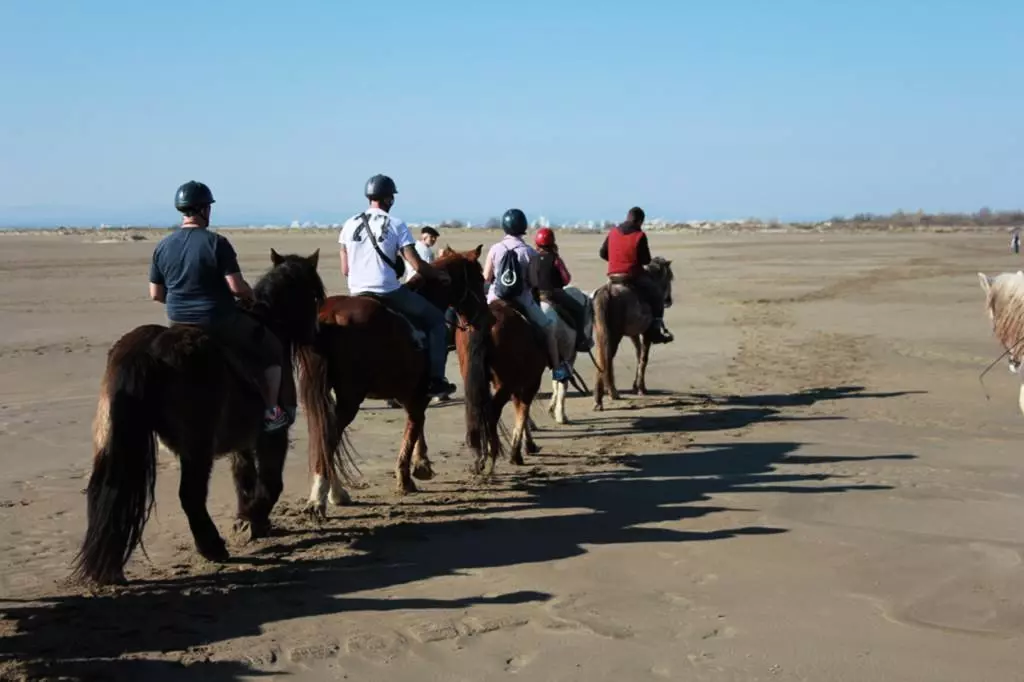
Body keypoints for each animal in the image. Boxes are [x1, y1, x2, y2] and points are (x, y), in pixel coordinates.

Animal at [73, 249, 326, 585]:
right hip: (197, 447)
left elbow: (244, 478)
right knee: (190, 496)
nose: (316, 334)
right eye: (315, 295)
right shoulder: (272, 434)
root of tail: (148, 350)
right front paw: (252, 519)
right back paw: (212, 547)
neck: (269, 324)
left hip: (115, 441)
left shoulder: (241, 440)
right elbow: (271, 481)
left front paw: (250, 521)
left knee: (107, 490)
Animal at [295, 246, 493, 518]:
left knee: (323, 434)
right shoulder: (417, 394)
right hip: (350, 398)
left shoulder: (409, 393)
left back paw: (335, 493)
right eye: (480, 279)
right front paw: (408, 476)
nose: (487, 318)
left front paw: (420, 465)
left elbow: (416, 426)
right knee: (329, 436)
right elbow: (413, 427)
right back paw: (319, 497)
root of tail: (327, 316)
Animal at [540, 286, 594, 424]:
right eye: (593, 314)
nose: (591, 342)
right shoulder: (569, 356)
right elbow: (563, 384)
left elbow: (555, 383)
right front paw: (561, 415)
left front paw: (552, 409)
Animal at [591, 257, 675, 410]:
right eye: (669, 277)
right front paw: (641, 388)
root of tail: (607, 291)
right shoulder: (647, 333)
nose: (668, 300)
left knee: (601, 359)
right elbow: (643, 358)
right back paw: (610, 393)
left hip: (601, 333)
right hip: (614, 335)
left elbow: (638, 354)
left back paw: (601, 397)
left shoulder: (634, 334)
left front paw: (636, 386)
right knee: (608, 358)